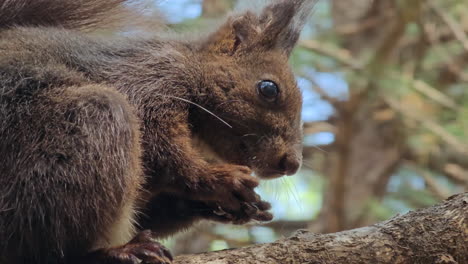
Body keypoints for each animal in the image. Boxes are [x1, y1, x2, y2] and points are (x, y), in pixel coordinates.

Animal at [0, 0, 314, 262]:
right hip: (82, 128)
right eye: (268, 88)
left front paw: (237, 206)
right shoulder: (148, 80)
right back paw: (114, 252)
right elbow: (162, 149)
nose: (292, 164)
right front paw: (219, 179)